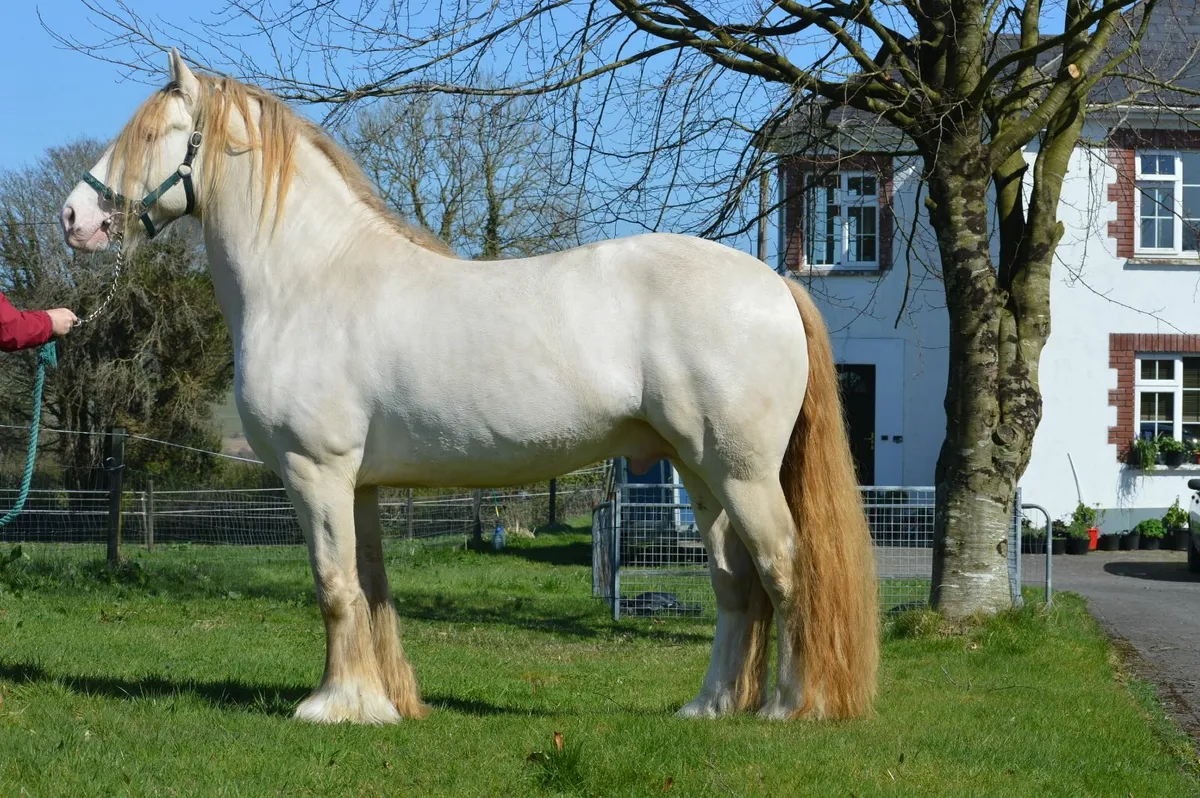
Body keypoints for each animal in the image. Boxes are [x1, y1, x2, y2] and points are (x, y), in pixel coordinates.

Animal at [59, 49, 879, 725]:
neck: (308, 280)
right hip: (703, 476)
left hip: (742, 475)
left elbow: (332, 586)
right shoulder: (358, 485)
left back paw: (791, 707)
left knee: (786, 571)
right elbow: (371, 589)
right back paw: (710, 707)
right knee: (737, 585)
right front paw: (383, 702)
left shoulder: (314, 472)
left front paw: (333, 706)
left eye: (152, 134)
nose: (74, 216)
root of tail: (771, 283)